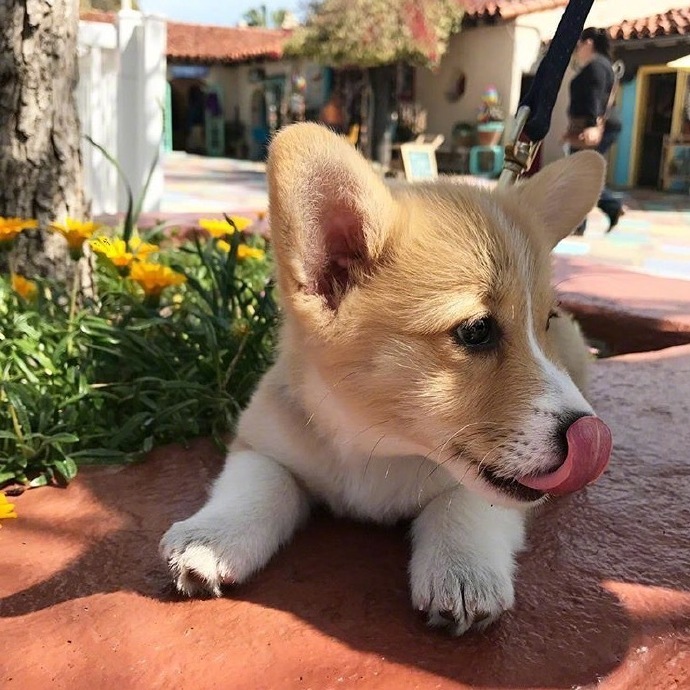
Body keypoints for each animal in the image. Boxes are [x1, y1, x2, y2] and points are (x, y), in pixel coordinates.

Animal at [161, 122, 612, 636]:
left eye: (546, 321)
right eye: (476, 330)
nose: (591, 435)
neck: (376, 446)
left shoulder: (490, 495)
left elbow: (465, 505)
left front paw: (462, 572)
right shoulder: (259, 445)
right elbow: (255, 486)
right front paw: (210, 540)